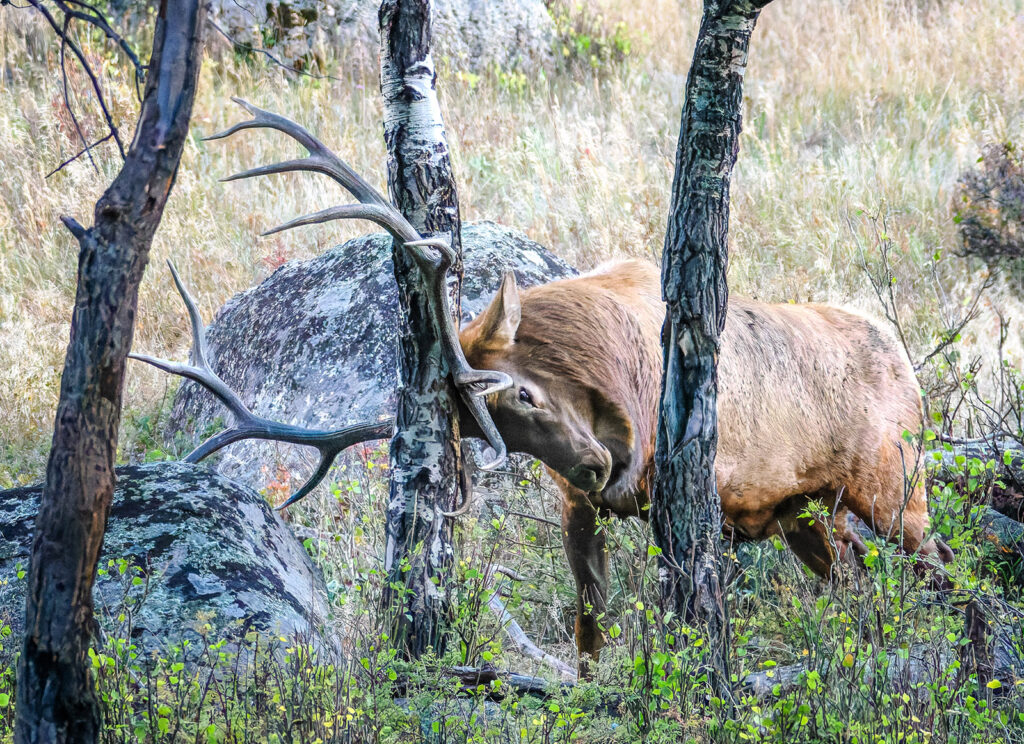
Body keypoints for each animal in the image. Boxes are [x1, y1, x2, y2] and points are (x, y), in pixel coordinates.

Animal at [458, 258, 954, 671]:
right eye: (495, 434)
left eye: (523, 393)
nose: (594, 467)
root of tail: (908, 366)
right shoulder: (580, 506)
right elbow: (590, 623)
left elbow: (690, 616)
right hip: (808, 516)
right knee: (857, 576)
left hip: (893, 493)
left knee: (940, 559)